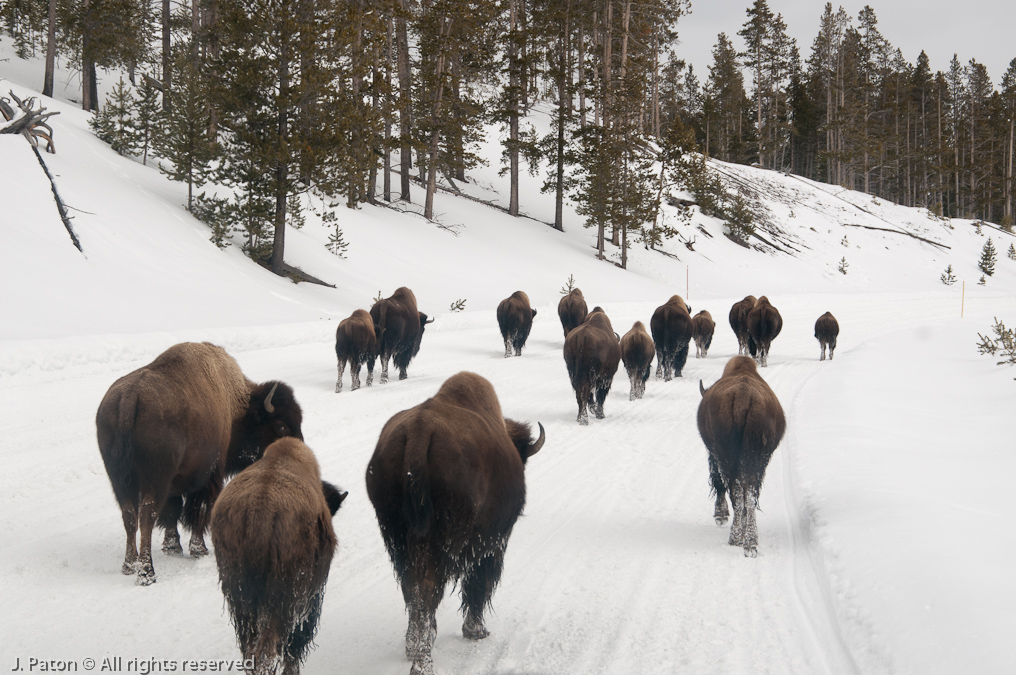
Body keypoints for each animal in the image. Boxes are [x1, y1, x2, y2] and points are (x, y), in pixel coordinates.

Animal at [94, 343, 300, 585]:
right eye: (282, 426)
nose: (294, 451)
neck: (235, 405)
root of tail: (130, 397)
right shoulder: (209, 476)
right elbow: (200, 511)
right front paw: (199, 550)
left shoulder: (174, 483)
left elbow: (173, 511)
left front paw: (172, 547)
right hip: (155, 481)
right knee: (146, 515)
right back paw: (146, 572)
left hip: (120, 481)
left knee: (129, 515)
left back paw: (129, 565)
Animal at [367, 372, 548, 675]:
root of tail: (420, 433)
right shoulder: (493, 545)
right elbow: (479, 584)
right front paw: (476, 630)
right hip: (442, 543)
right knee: (429, 591)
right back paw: (423, 661)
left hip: (395, 536)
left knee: (410, 588)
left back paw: (412, 646)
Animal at [699, 355, 784, 557]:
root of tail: (743, 397)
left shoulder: (714, 453)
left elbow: (719, 482)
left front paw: (720, 515)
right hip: (756, 459)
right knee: (750, 492)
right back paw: (750, 542)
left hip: (725, 456)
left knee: (735, 489)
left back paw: (736, 538)